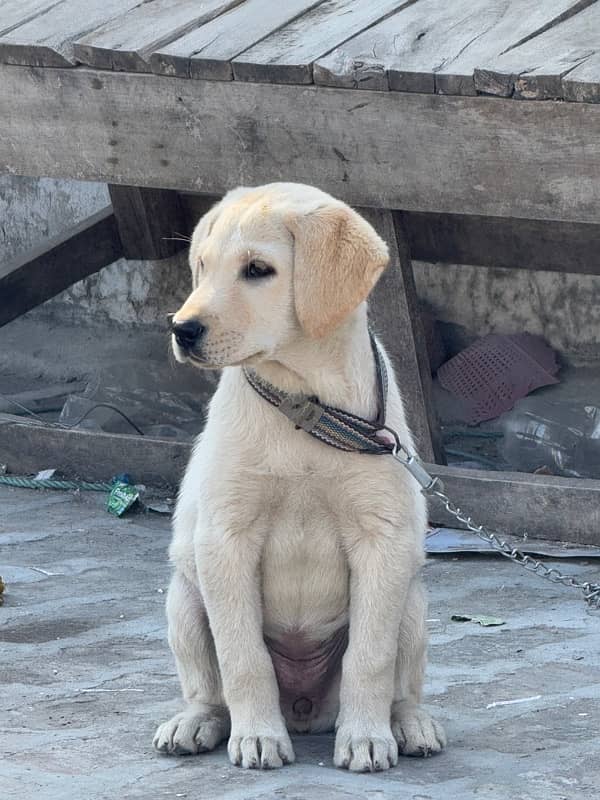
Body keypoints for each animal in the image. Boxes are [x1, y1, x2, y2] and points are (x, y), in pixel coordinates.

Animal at [154, 183, 446, 776]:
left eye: (257, 269)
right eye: (202, 266)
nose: (182, 329)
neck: (305, 404)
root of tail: (306, 709)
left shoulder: (383, 540)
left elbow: (369, 659)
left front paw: (365, 738)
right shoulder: (225, 537)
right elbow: (243, 657)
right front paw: (258, 736)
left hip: (411, 600)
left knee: (400, 684)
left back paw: (408, 723)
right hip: (185, 598)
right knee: (208, 688)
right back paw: (196, 722)